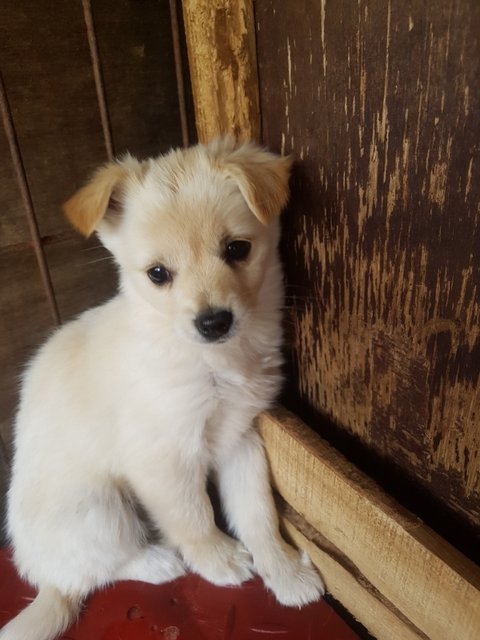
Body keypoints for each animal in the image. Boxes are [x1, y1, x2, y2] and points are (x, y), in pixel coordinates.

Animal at [1, 138, 323, 640]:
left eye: (237, 249)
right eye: (157, 274)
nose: (214, 323)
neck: (212, 361)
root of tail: (43, 578)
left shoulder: (240, 439)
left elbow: (258, 512)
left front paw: (285, 571)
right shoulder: (163, 458)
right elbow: (193, 514)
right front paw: (218, 558)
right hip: (100, 506)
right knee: (97, 569)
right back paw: (156, 561)